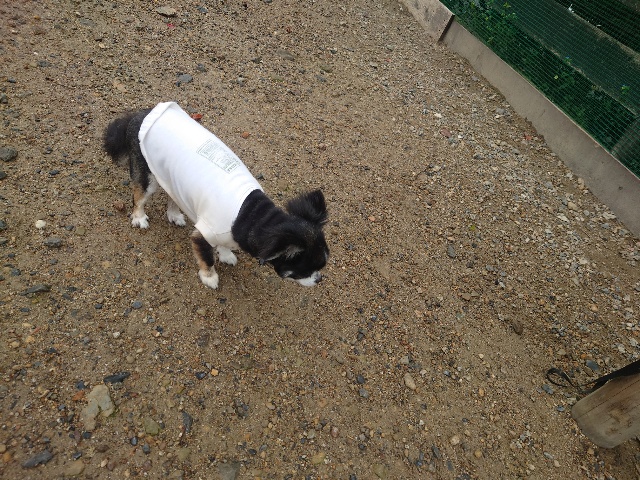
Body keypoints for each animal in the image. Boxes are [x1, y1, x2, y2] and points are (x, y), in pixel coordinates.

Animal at [103, 101, 328, 289]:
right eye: (306, 270)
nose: (319, 279)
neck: (253, 215)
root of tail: (139, 114)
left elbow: (224, 245)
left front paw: (226, 254)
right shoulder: (203, 234)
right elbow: (207, 258)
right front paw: (209, 277)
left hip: (170, 176)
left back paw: (174, 215)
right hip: (147, 175)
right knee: (139, 197)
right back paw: (139, 217)